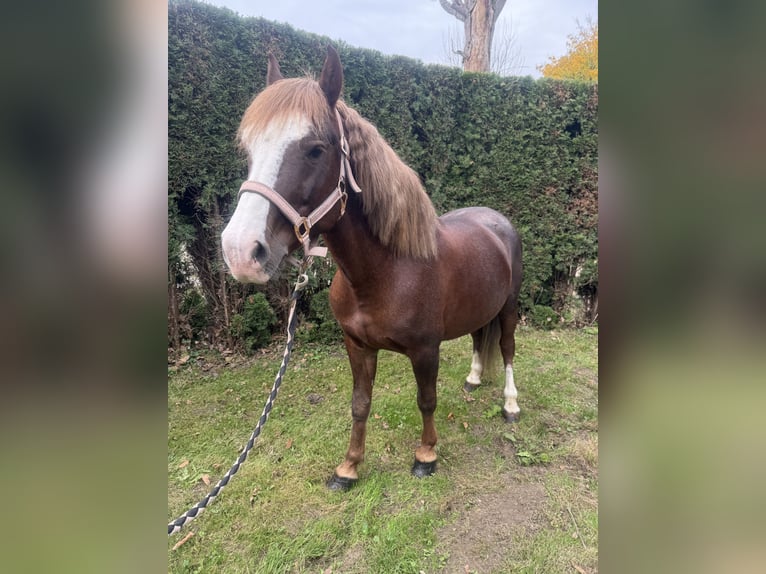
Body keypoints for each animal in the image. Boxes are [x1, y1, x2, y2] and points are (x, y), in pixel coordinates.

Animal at [221, 46, 522, 490]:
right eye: (249, 149)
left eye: (316, 149)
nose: (240, 251)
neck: (385, 273)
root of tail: (496, 221)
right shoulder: (357, 346)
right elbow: (360, 403)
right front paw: (348, 467)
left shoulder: (425, 350)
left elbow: (426, 400)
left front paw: (426, 455)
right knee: (477, 339)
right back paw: (472, 379)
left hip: (509, 308)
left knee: (507, 349)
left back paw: (510, 404)